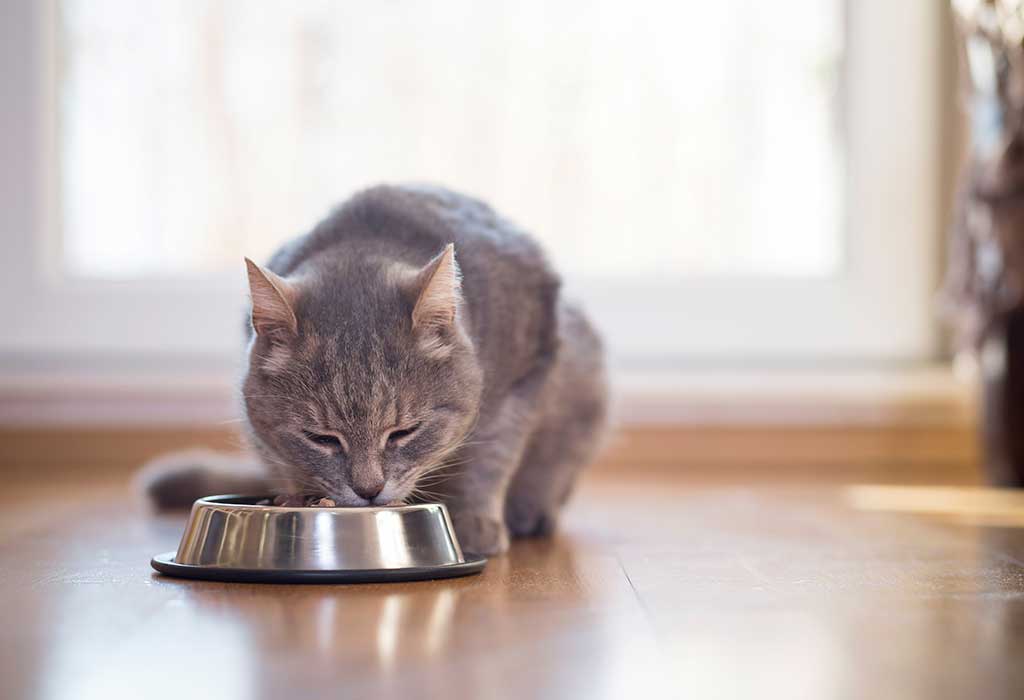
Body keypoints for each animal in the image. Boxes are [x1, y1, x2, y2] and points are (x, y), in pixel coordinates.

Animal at [143, 183, 606, 556]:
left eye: (404, 432)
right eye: (321, 438)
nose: (368, 490)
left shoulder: (523, 377)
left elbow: (490, 456)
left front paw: (476, 522)